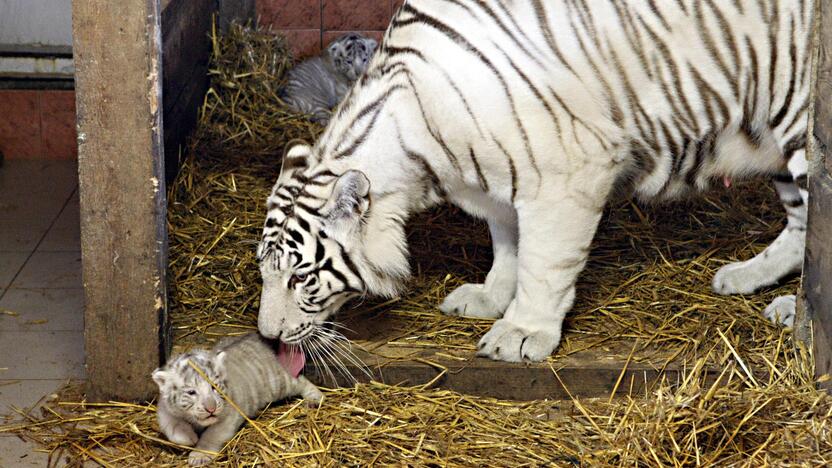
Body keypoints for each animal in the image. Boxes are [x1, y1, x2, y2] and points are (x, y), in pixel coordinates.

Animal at [255, 0, 812, 364]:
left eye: (300, 277)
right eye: (264, 271)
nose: (269, 336)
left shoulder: (567, 172)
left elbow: (544, 263)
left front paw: (521, 334)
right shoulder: (496, 179)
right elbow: (508, 245)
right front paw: (489, 296)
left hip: (801, 120)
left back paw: (794, 312)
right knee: (801, 223)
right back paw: (746, 277)